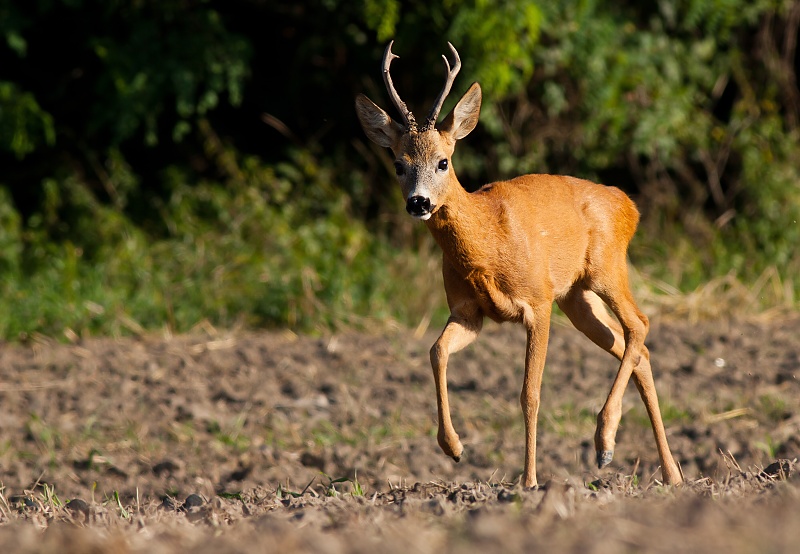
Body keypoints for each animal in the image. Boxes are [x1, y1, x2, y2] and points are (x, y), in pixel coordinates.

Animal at [354, 41, 680, 486]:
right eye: (399, 164)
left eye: (443, 161)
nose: (418, 202)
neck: (488, 243)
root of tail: (628, 204)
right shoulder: (469, 311)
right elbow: (436, 351)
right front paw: (454, 448)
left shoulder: (538, 303)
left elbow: (530, 393)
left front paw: (529, 481)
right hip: (576, 297)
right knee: (635, 346)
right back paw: (668, 472)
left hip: (606, 269)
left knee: (640, 325)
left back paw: (605, 442)